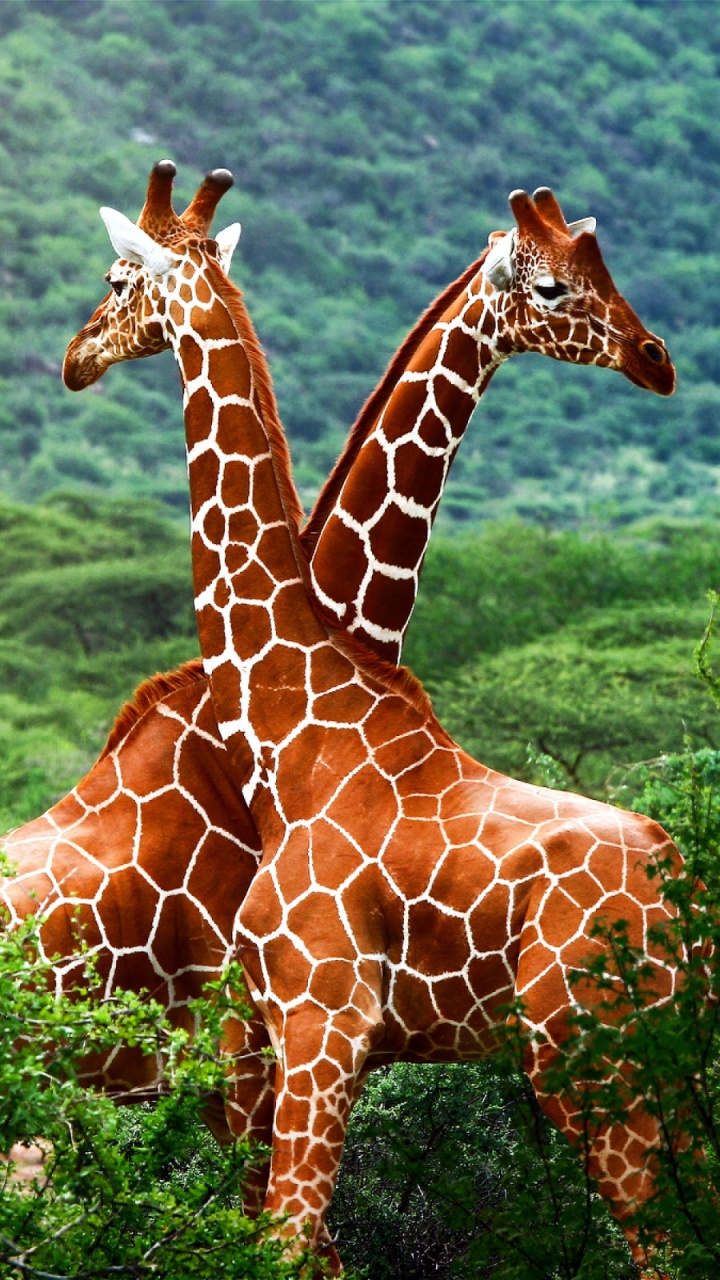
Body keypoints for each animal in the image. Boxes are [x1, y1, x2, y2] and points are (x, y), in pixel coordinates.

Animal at [64, 163, 684, 1278]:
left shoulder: (316, 1024)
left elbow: (284, 1244)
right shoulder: (280, 1040)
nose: (74, 357)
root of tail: (685, 890)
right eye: (557, 285)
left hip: (593, 1055)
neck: (294, 719)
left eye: (116, 279)